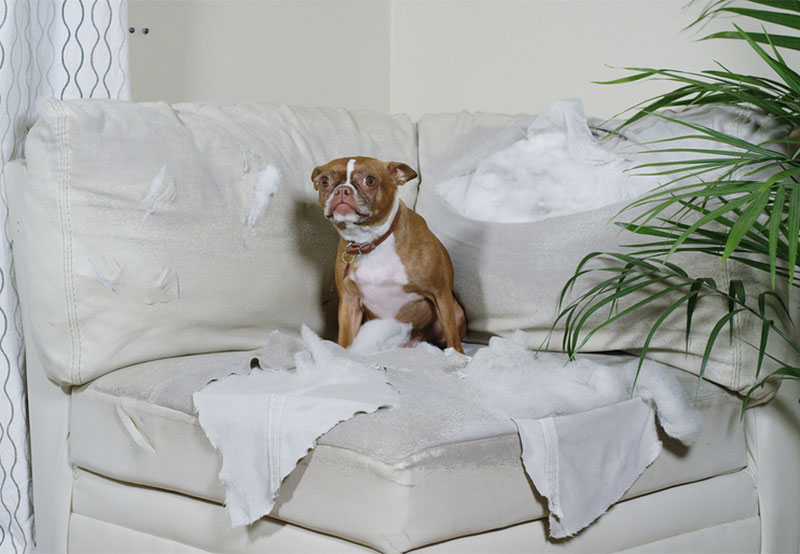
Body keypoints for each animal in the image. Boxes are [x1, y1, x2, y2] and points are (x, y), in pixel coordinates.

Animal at [310, 157, 466, 352]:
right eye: (324, 181)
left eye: (369, 180)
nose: (342, 190)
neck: (371, 242)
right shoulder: (349, 302)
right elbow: (346, 340)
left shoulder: (439, 293)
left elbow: (453, 338)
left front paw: (457, 355)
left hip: (456, 312)